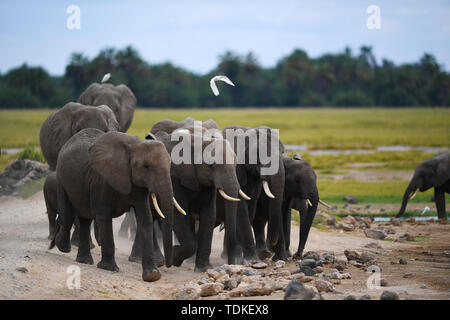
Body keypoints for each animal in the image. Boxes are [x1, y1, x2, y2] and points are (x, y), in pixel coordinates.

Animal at [49, 127, 176, 282]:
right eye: (146, 167)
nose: (169, 265)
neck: (133, 147)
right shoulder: (101, 180)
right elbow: (104, 217)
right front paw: (109, 268)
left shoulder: (138, 186)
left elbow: (145, 218)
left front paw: (152, 275)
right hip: (62, 179)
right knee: (68, 215)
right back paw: (62, 246)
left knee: (85, 219)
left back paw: (84, 260)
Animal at [147, 129, 243, 272]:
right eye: (210, 165)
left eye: (236, 163)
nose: (231, 264)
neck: (197, 141)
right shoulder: (175, 179)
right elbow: (179, 215)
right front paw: (175, 258)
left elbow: (209, 215)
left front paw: (203, 269)